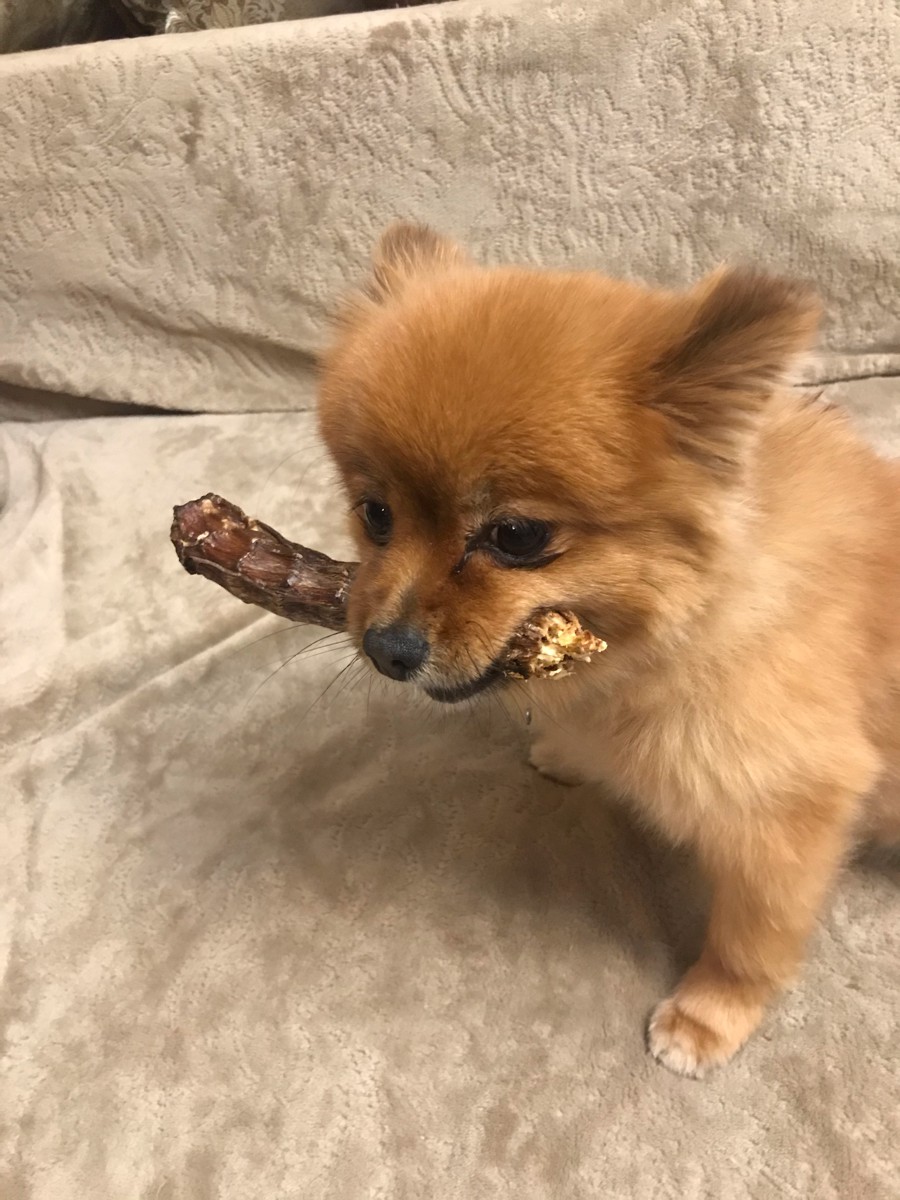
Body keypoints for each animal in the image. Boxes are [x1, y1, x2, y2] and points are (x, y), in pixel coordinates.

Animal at [317, 223, 900, 1076]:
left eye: (516, 535)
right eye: (375, 515)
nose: (387, 647)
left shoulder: (789, 815)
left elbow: (748, 940)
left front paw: (709, 1015)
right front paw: (569, 751)